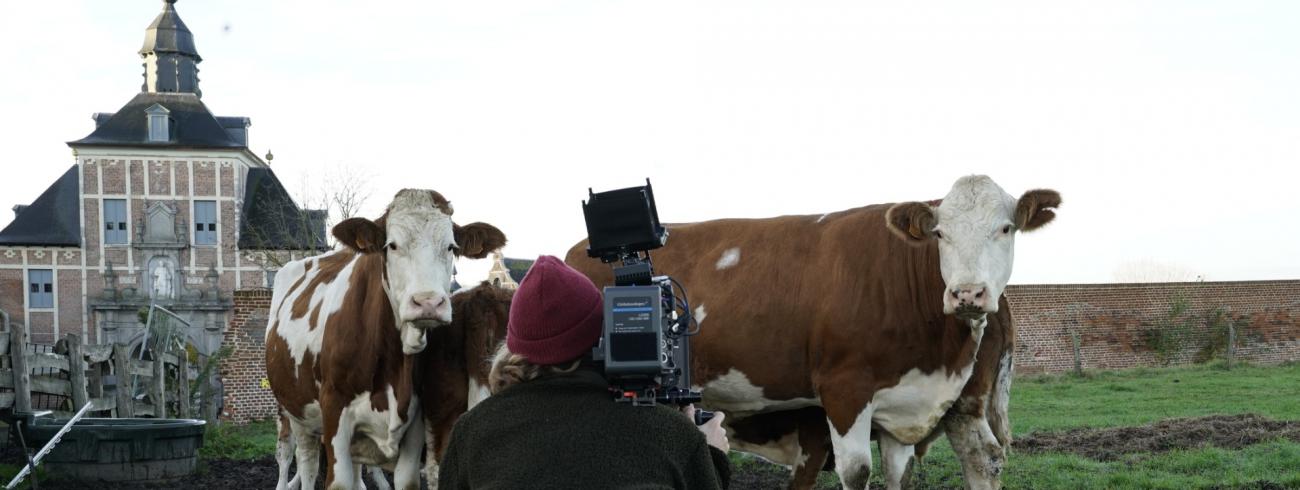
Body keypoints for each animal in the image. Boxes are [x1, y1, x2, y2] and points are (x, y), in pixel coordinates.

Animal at [266, 188, 504, 488]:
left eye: (451, 247)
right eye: (392, 245)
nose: (428, 303)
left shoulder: (415, 421)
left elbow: (405, 479)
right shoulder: (334, 411)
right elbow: (338, 480)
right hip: (294, 410)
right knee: (300, 460)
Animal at [566, 174, 1055, 486]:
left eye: (1006, 228)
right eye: (940, 235)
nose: (967, 293)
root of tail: (573, 253)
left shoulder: (904, 402)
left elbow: (898, 474)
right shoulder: (844, 389)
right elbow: (857, 472)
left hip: (968, 403)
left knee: (984, 459)